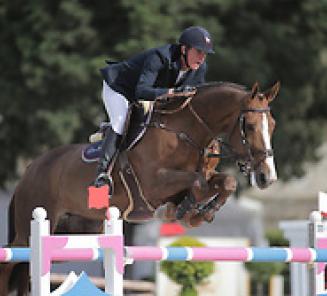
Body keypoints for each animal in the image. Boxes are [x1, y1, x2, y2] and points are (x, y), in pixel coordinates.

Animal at [1, 80, 280, 294]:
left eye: (273, 125)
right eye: (250, 126)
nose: (267, 177)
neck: (185, 133)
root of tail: (29, 170)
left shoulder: (199, 176)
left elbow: (224, 182)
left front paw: (199, 212)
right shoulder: (153, 185)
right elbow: (197, 183)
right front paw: (184, 211)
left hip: (74, 234)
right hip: (32, 226)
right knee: (9, 262)